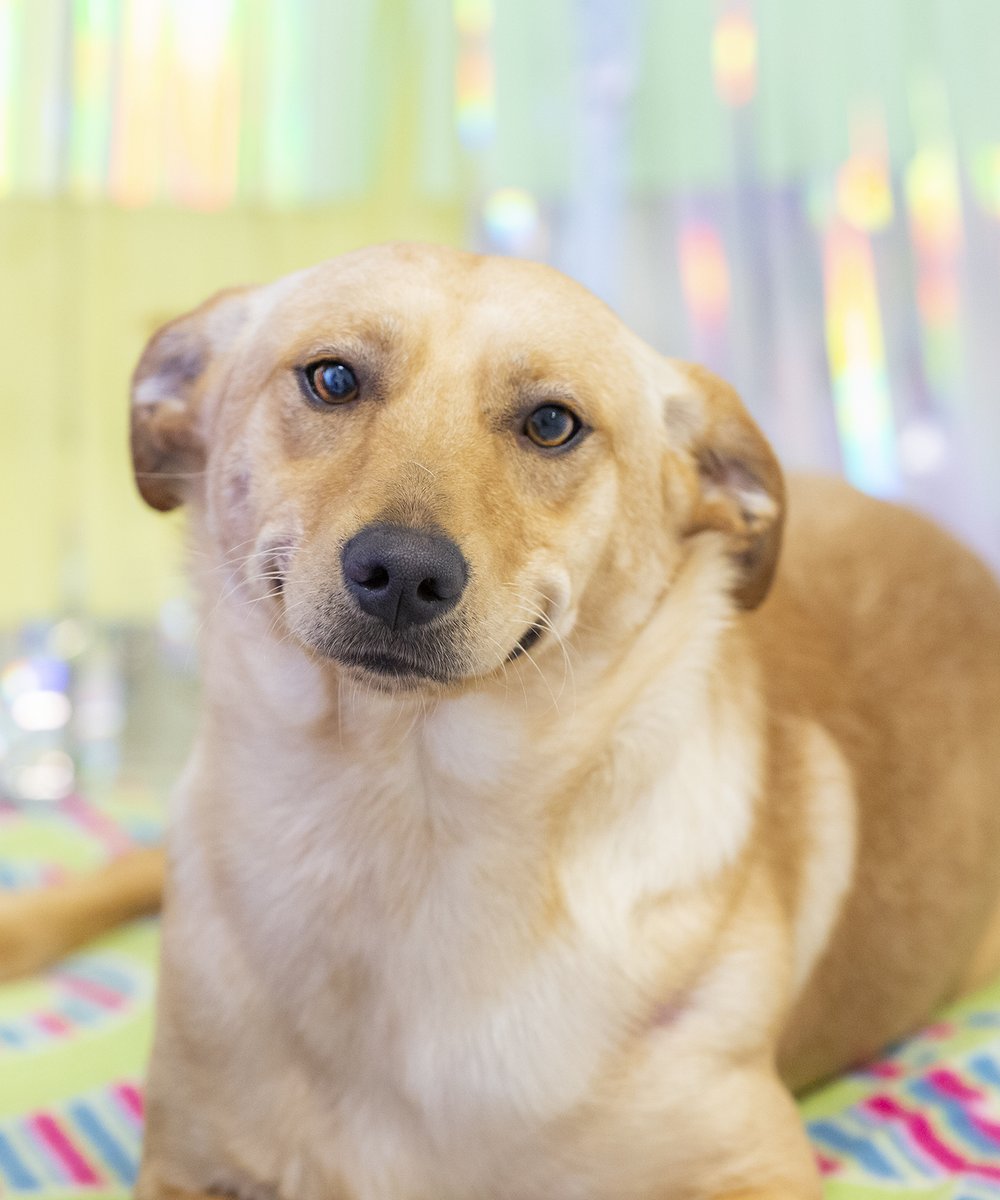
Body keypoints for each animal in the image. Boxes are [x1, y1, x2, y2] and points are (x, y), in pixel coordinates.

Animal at [1, 243, 998, 1200]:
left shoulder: (756, 1166)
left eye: (552, 424)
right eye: (332, 379)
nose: (403, 573)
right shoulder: (185, 1162)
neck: (396, 827)